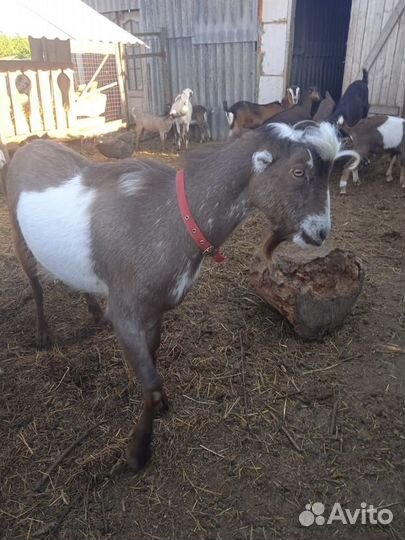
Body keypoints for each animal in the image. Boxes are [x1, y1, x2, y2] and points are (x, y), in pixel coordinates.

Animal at [3, 123, 356, 472]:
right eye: (298, 171)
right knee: (35, 284)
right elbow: (151, 385)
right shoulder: (126, 312)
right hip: (19, 236)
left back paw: (93, 313)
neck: (173, 218)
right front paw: (137, 453)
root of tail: (27, 146)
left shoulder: (156, 310)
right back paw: (43, 335)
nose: (320, 232)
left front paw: (155, 415)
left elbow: (153, 363)